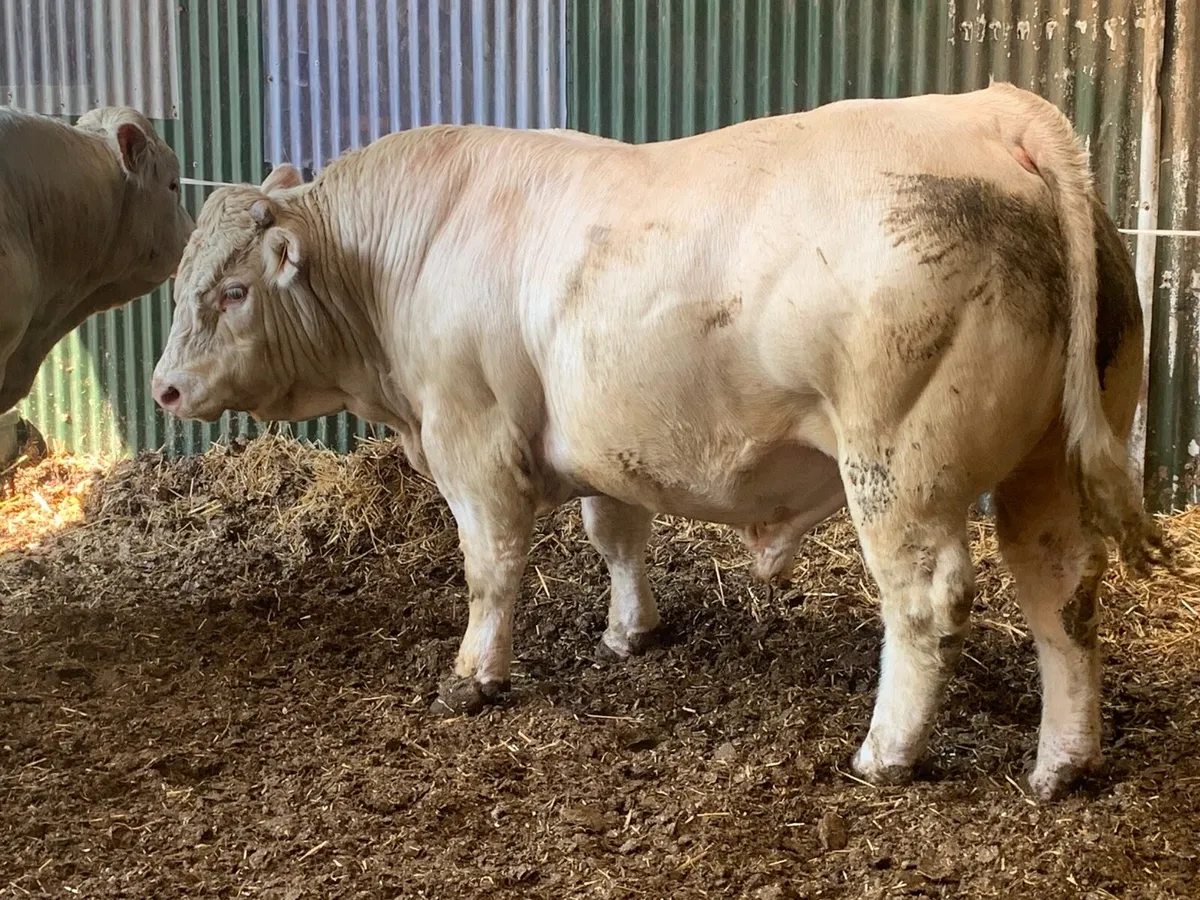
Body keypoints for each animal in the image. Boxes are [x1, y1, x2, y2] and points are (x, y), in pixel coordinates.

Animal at [151, 83, 1165, 801]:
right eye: (181, 278)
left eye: (233, 291)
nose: (164, 388)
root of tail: (994, 110)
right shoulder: (604, 443)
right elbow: (617, 535)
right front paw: (629, 631)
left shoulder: (472, 440)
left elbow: (491, 570)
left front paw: (472, 678)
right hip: (1049, 460)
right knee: (1061, 591)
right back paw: (1062, 764)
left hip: (899, 467)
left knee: (925, 601)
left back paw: (885, 754)